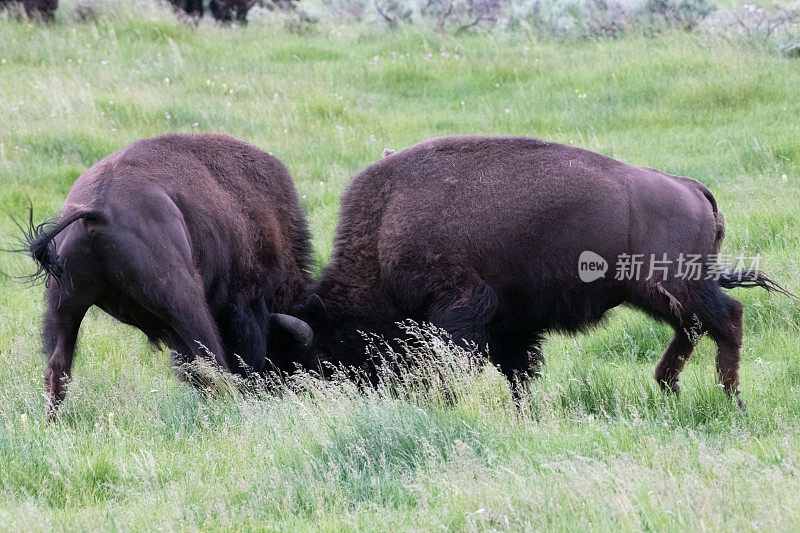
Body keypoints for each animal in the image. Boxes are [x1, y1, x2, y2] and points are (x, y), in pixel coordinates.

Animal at [274, 136, 792, 404]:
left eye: (326, 354)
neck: (386, 230)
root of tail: (690, 187)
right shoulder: (509, 325)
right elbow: (518, 372)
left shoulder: (461, 310)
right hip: (657, 292)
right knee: (694, 327)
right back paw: (668, 388)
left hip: (676, 284)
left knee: (727, 318)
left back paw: (730, 399)